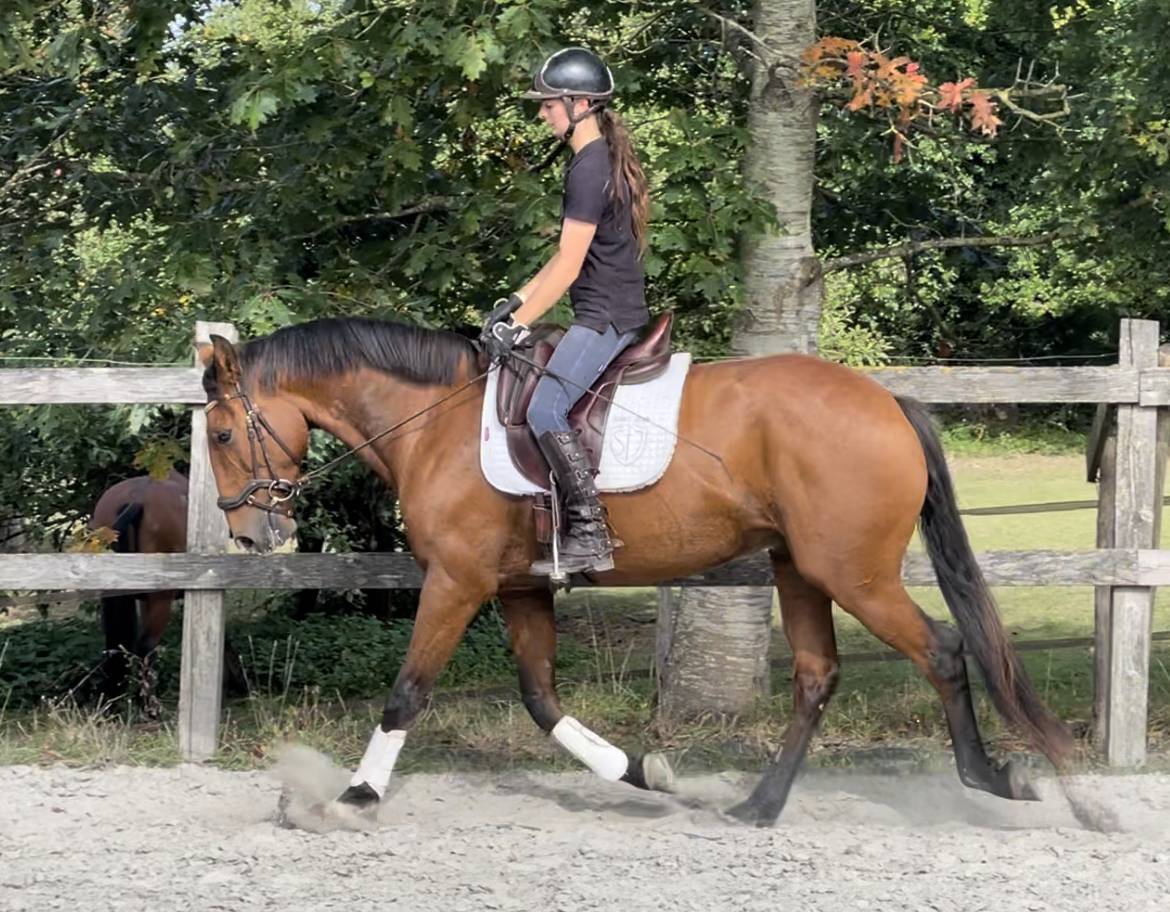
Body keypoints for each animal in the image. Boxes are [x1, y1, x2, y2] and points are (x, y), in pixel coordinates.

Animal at [195, 315, 1097, 828]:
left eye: (221, 434)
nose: (252, 532)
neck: (435, 420)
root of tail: (888, 403)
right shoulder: (520, 586)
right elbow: (542, 701)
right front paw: (643, 772)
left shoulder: (457, 582)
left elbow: (407, 691)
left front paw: (354, 797)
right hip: (800, 568)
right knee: (816, 675)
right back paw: (757, 807)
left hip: (855, 574)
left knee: (942, 650)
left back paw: (997, 779)